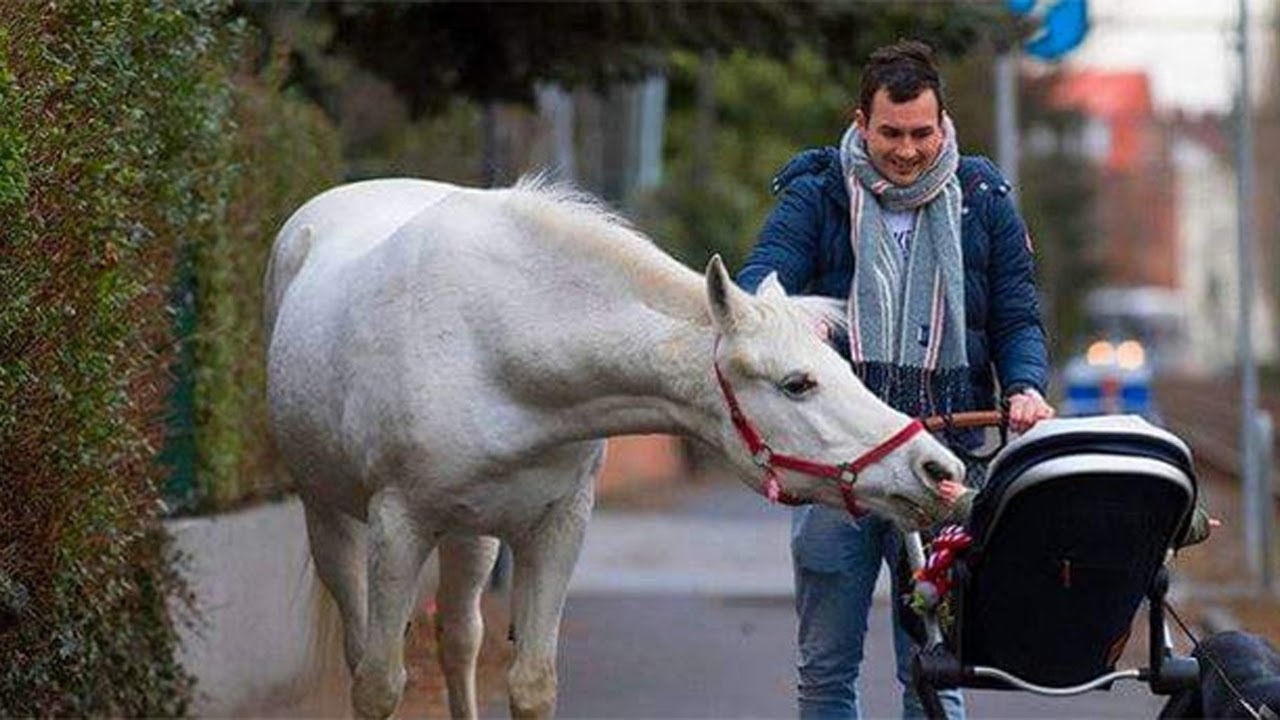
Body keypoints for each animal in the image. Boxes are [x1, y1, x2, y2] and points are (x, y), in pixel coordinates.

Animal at [264, 176, 966, 719]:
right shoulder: (397, 527)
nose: (938, 469)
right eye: (798, 383)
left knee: (459, 640)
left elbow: (531, 684)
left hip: (471, 534)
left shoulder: (556, 529)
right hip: (332, 519)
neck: (493, 344)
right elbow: (378, 686)